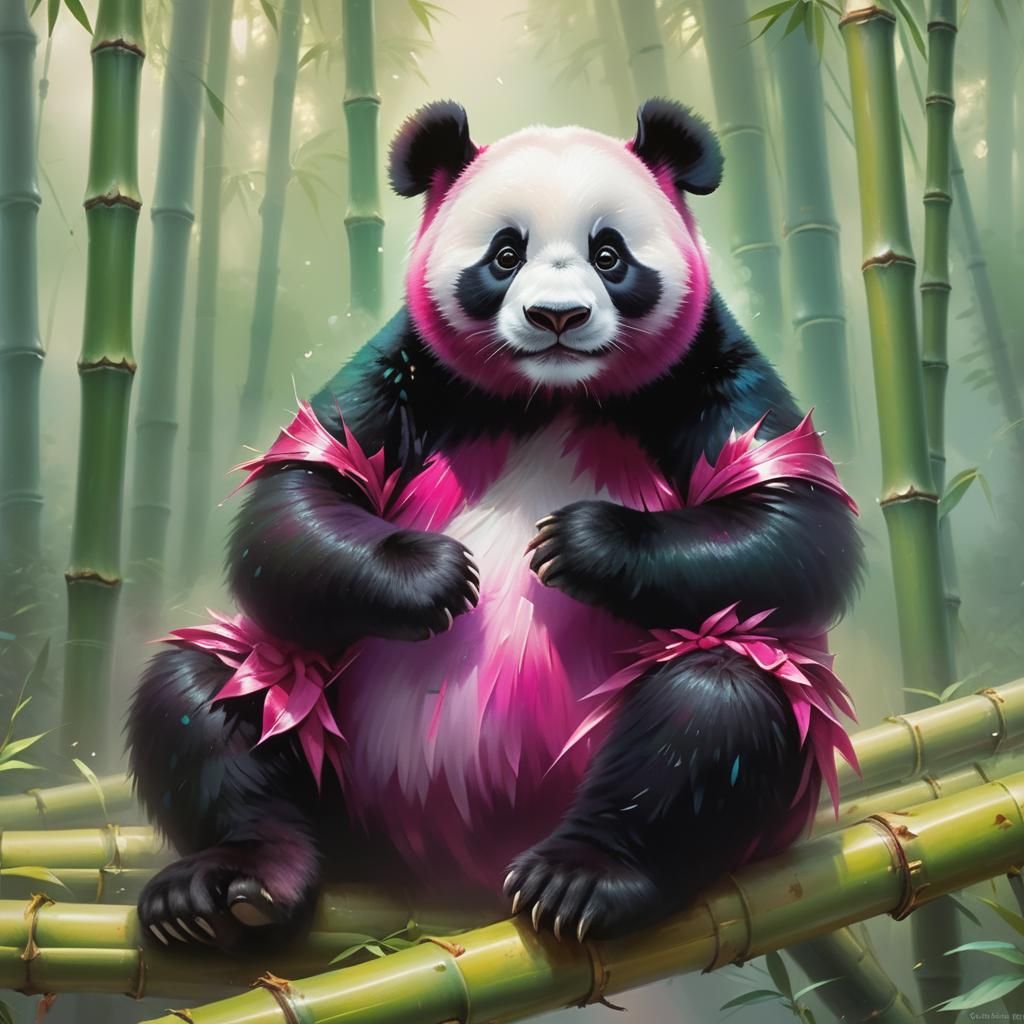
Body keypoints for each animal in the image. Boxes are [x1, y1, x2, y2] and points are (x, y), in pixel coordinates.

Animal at [127, 99, 862, 951]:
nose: (557, 317)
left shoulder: (712, 365)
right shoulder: (406, 366)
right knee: (210, 688)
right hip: (327, 756)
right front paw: (435, 578)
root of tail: (452, 874)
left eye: (608, 254)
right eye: (505, 255)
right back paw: (227, 885)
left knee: (721, 699)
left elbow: (795, 525)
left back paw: (581, 877)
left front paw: (578, 546)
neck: (552, 395)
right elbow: (298, 497)